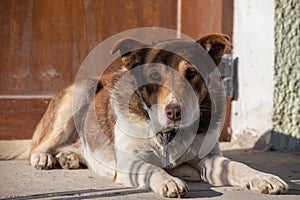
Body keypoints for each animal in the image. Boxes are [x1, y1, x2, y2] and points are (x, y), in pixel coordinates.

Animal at [14, 34, 288, 197]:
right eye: (154, 75)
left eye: (191, 73)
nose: (175, 111)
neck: (167, 133)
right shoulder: (128, 161)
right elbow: (151, 168)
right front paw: (169, 181)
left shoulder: (204, 158)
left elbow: (236, 166)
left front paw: (264, 178)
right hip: (78, 95)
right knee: (37, 145)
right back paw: (44, 157)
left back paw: (69, 157)